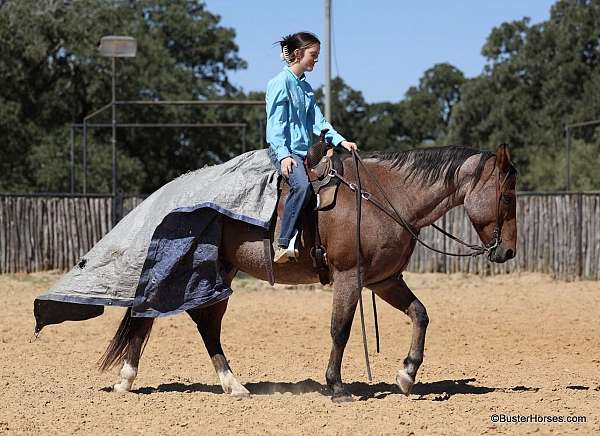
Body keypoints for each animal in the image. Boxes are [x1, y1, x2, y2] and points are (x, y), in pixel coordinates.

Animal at [97, 143, 516, 402]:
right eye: (507, 195)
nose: (509, 251)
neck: (385, 199)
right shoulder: (349, 277)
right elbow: (340, 329)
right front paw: (337, 386)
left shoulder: (384, 281)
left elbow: (420, 314)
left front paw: (407, 374)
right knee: (150, 314)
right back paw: (127, 380)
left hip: (220, 273)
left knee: (203, 324)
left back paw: (231, 384)